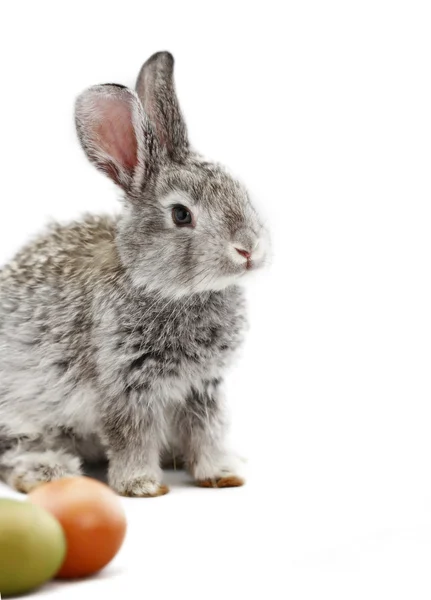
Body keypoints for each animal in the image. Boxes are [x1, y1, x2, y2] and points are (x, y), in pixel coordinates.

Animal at [0, 51, 270, 496]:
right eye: (181, 215)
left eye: (239, 191)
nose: (249, 250)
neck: (162, 287)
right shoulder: (126, 386)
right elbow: (132, 437)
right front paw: (142, 485)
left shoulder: (203, 387)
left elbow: (207, 432)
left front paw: (221, 474)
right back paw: (48, 470)